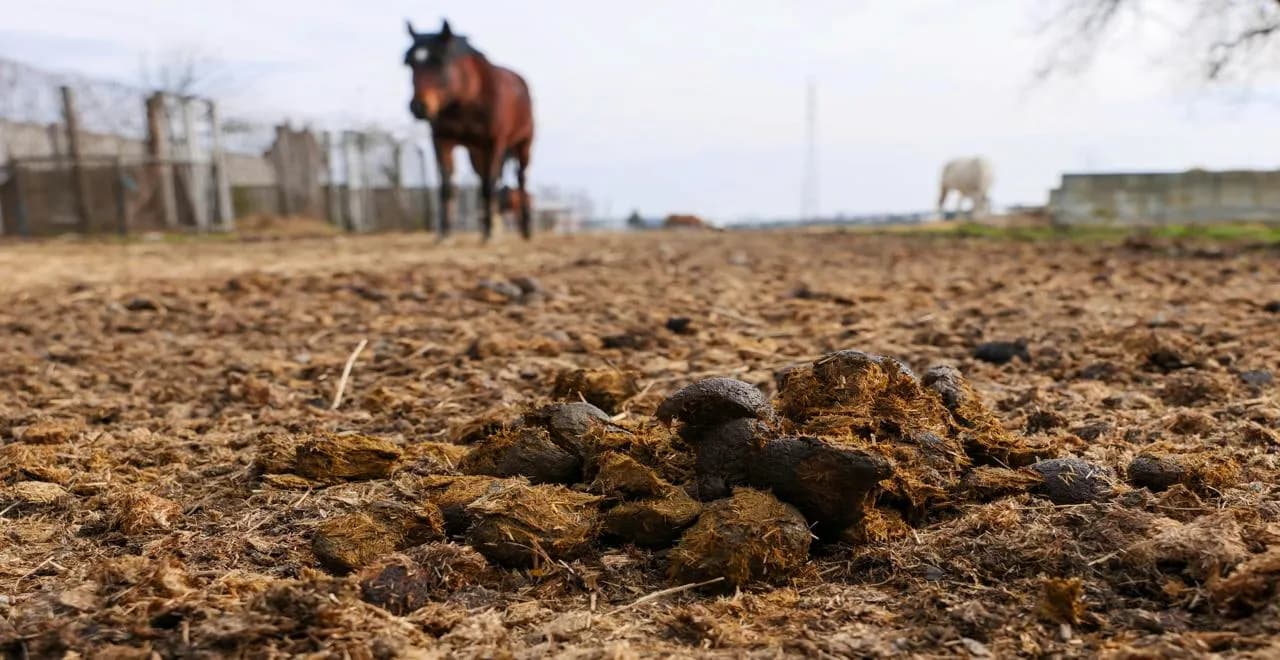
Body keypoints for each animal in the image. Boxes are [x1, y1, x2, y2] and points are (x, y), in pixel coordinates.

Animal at [404, 19, 535, 241]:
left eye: (441, 62)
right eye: (410, 64)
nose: (419, 107)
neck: (464, 101)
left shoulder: (494, 142)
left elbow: (489, 185)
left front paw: (489, 233)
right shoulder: (442, 139)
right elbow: (447, 184)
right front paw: (445, 233)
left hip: (523, 143)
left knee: (521, 179)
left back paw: (524, 229)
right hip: (476, 152)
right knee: (484, 178)